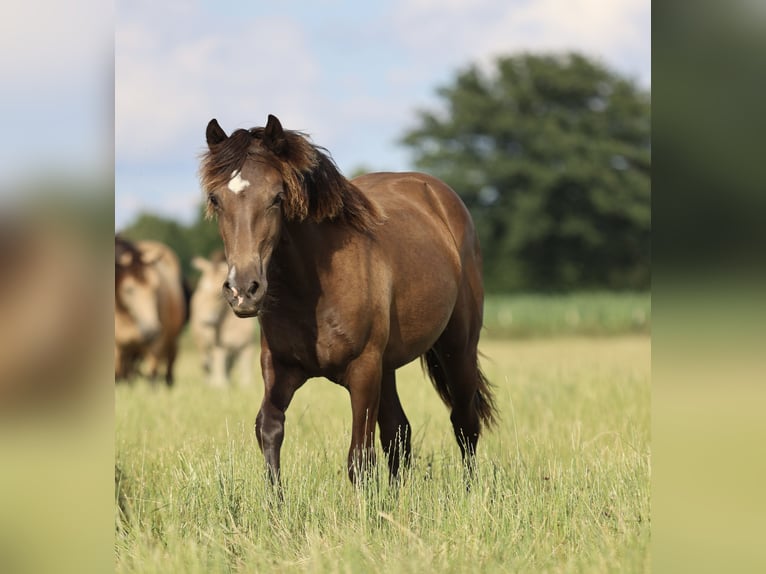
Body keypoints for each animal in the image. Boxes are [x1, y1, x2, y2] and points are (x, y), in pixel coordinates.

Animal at [200, 115, 498, 484]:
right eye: (216, 199)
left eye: (277, 197)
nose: (243, 290)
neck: (313, 290)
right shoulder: (279, 368)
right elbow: (268, 429)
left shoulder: (363, 370)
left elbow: (360, 458)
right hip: (389, 366)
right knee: (399, 432)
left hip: (456, 347)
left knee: (464, 423)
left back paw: (471, 491)